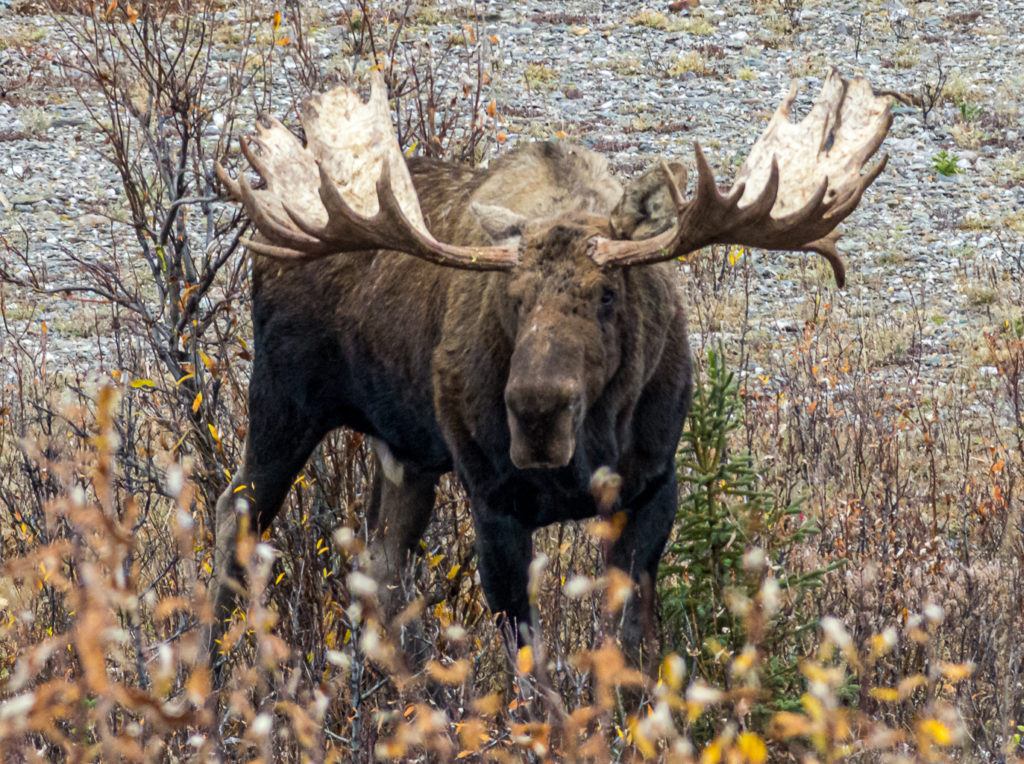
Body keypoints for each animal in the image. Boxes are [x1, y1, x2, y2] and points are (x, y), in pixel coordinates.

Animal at [211, 70, 892, 655]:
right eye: (511, 298)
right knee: (237, 519)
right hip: (283, 398)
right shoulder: (495, 502)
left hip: (404, 450)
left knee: (378, 563)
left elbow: (627, 645)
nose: (538, 413)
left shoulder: (653, 486)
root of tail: (266, 238)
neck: (590, 445)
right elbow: (531, 669)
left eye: (608, 294)